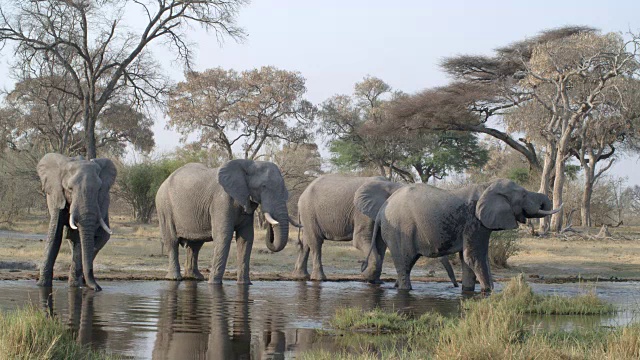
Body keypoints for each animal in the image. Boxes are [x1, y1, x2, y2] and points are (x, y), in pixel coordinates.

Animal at [36, 153, 117, 292]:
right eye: (70, 189)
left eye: (99, 189)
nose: (98, 288)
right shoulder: (57, 195)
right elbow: (55, 235)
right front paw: (41, 285)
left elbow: (80, 239)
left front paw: (75, 286)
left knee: (99, 240)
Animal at [155, 160, 298, 284]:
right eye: (263, 187)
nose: (270, 226)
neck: (248, 163)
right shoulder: (221, 200)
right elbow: (224, 236)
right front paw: (213, 284)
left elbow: (246, 238)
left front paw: (245, 284)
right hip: (164, 206)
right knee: (172, 241)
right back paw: (174, 278)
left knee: (195, 245)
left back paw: (194, 278)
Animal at [296, 174, 460, 286]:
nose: (455, 285)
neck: (391, 184)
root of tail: (304, 191)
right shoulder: (362, 212)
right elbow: (361, 240)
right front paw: (366, 277)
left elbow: (380, 244)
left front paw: (374, 281)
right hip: (308, 210)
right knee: (316, 242)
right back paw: (318, 279)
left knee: (307, 241)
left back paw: (301, 277)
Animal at [358, 179, 564, 292]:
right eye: (523, 195)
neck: (487, 186)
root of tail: (382, 210)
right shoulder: (474, 221)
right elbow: (474, 257)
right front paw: (489, 292)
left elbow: (469, 259)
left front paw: (468, 291)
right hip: (399, 230)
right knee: (405, 262)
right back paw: (405, 290)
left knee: (406, 264)